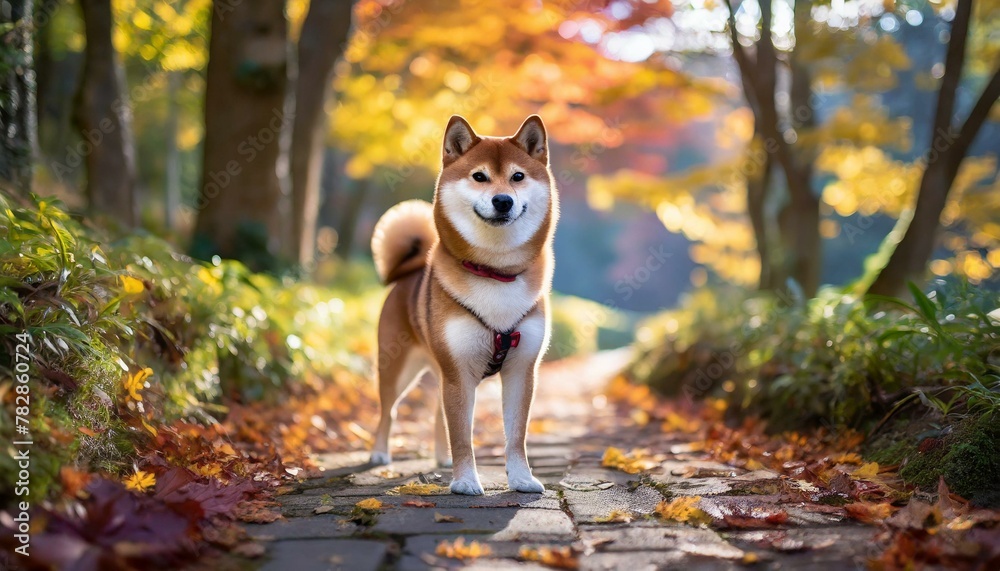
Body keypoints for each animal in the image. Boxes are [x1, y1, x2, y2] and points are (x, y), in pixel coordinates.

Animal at [370, 114, 560, 494]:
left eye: (518, 176)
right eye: (479, 176)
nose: (503, 200)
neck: (496, 272)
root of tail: (409, 275)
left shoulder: (521, 370)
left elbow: (516, 435)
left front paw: (521, 478)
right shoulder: (459, 372)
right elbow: (462, 435)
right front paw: (465, 482)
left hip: (441, 369)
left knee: (436, 415)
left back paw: (441, 458)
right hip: (399, 369)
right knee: (389, 411)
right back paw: (381, 454)